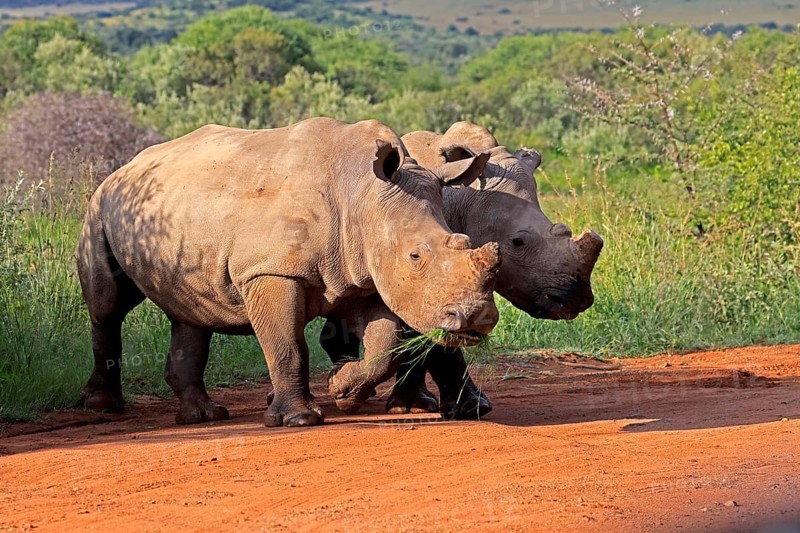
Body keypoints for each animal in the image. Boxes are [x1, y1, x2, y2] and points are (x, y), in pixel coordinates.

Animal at [77, 117, 502, 428]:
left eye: (465, 241)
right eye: (415, 257)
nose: (478, 317)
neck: (362, 196)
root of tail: (125, 167)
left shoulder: (363, 276)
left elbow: (384, 346)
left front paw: (342, 391)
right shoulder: (270, 272)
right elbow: (287, 345)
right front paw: (299, 420)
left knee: (191, 312)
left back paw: (202, 417)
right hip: (102, 205)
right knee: (108, 306)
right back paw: (102, 407)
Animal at [323, 122, 603, 418]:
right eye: (518, 242)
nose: (577, 299)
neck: (462, 198)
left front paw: (468, 407)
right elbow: (431, 337)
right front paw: (414, 408)